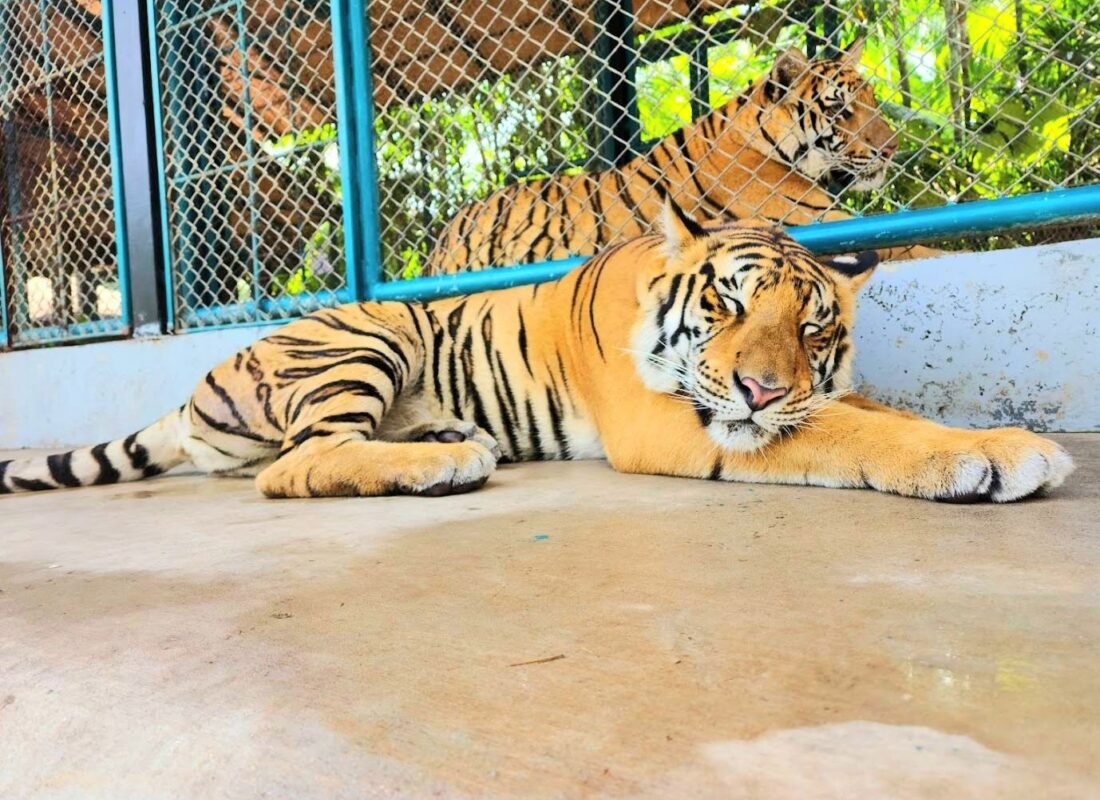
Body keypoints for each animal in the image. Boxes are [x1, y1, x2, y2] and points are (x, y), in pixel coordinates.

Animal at [0, 206, 1070, 502]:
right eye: (727, 303)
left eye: (811, 329)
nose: (763, 388)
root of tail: (194, 390)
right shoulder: (675, 425)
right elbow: (855, 433)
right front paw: (1001, 455)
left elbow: (870, 409)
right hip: (370, 331)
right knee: (295, 465)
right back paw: (439, 464)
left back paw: (445, 444)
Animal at [425, 38, 937, 277]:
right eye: (839, 107)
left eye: (873, 99)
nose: (891, 148)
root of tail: (444, 234)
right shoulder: (819, 219)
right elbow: (916, 243)